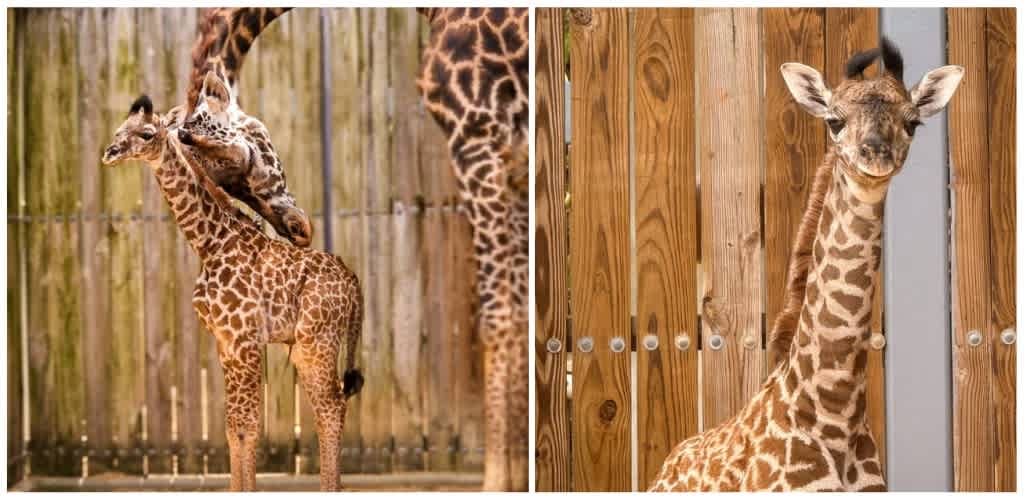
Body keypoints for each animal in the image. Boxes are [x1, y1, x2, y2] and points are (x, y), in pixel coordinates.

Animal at [102, 67, 364, 492]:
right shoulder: (225, 343)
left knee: (331, 408)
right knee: (332, 406)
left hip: (317, 343)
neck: (209, 244)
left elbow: (249, 425)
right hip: (306, 346)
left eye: (146, 133)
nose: (110, 152)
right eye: (119, 129)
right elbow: (231, 426)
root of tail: (354, 281)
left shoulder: (246, 340)